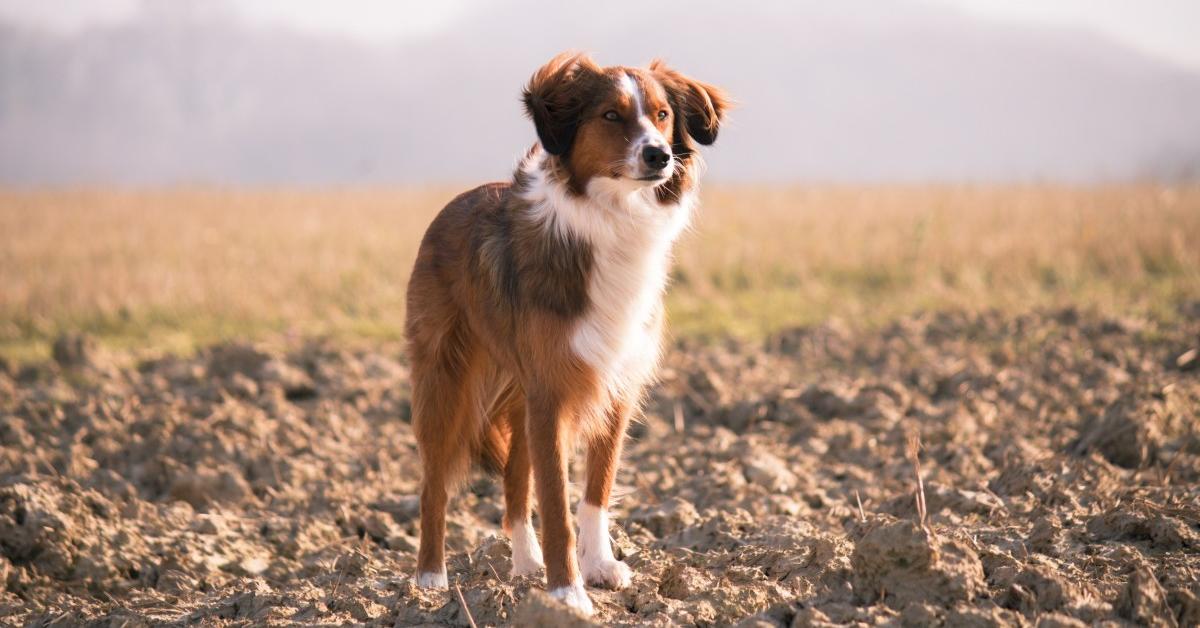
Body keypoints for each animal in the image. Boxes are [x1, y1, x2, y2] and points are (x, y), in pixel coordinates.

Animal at [403, 50, 724, 614]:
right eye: (611, 116)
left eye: (663, 114)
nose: (659, 156)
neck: (613, 216)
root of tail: (451, 206)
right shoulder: (551, 392)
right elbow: (555, 499)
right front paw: (566, 592)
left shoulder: (614, 386)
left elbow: (595, 492)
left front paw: (599, 567)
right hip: (446, 382)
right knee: (435, 485)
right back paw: (430, 579)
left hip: (519, 392)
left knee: (514, 479)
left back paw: (525, 563)